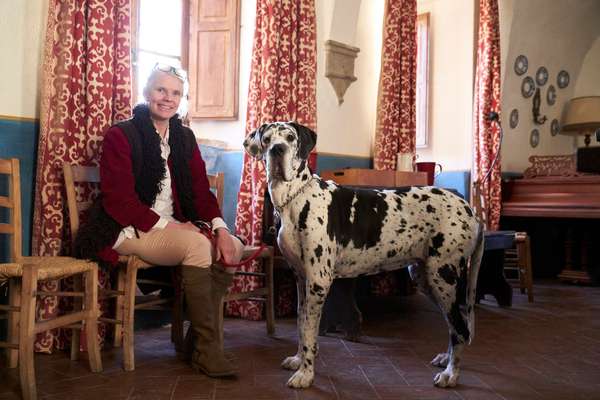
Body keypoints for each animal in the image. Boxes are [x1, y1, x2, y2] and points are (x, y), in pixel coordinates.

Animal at [244, 121, 482, 388]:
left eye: (290, 137)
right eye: (266, 139)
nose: (277, 149)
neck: (296, 197)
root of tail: (470, 209)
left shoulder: (318, 282)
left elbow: (310, 331)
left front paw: (305, 374)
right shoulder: (301, 279)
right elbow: (301, 324)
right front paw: (298, 360)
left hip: (443, 278)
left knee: (460, 328)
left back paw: (451, 373)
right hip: (427, 279)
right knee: (454, 325)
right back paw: (446, 360)